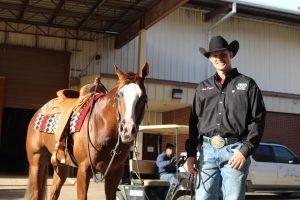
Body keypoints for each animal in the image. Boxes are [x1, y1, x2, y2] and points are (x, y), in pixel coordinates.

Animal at [25, 63, 149, 199]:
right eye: (118, 95)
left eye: (144, 98)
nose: (127, 130)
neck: (101, 125)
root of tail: (39, 110)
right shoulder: (84, 169)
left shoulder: (115, 172)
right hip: (36, 160)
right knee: (37, 193)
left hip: (61, 165)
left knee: (54, 192)